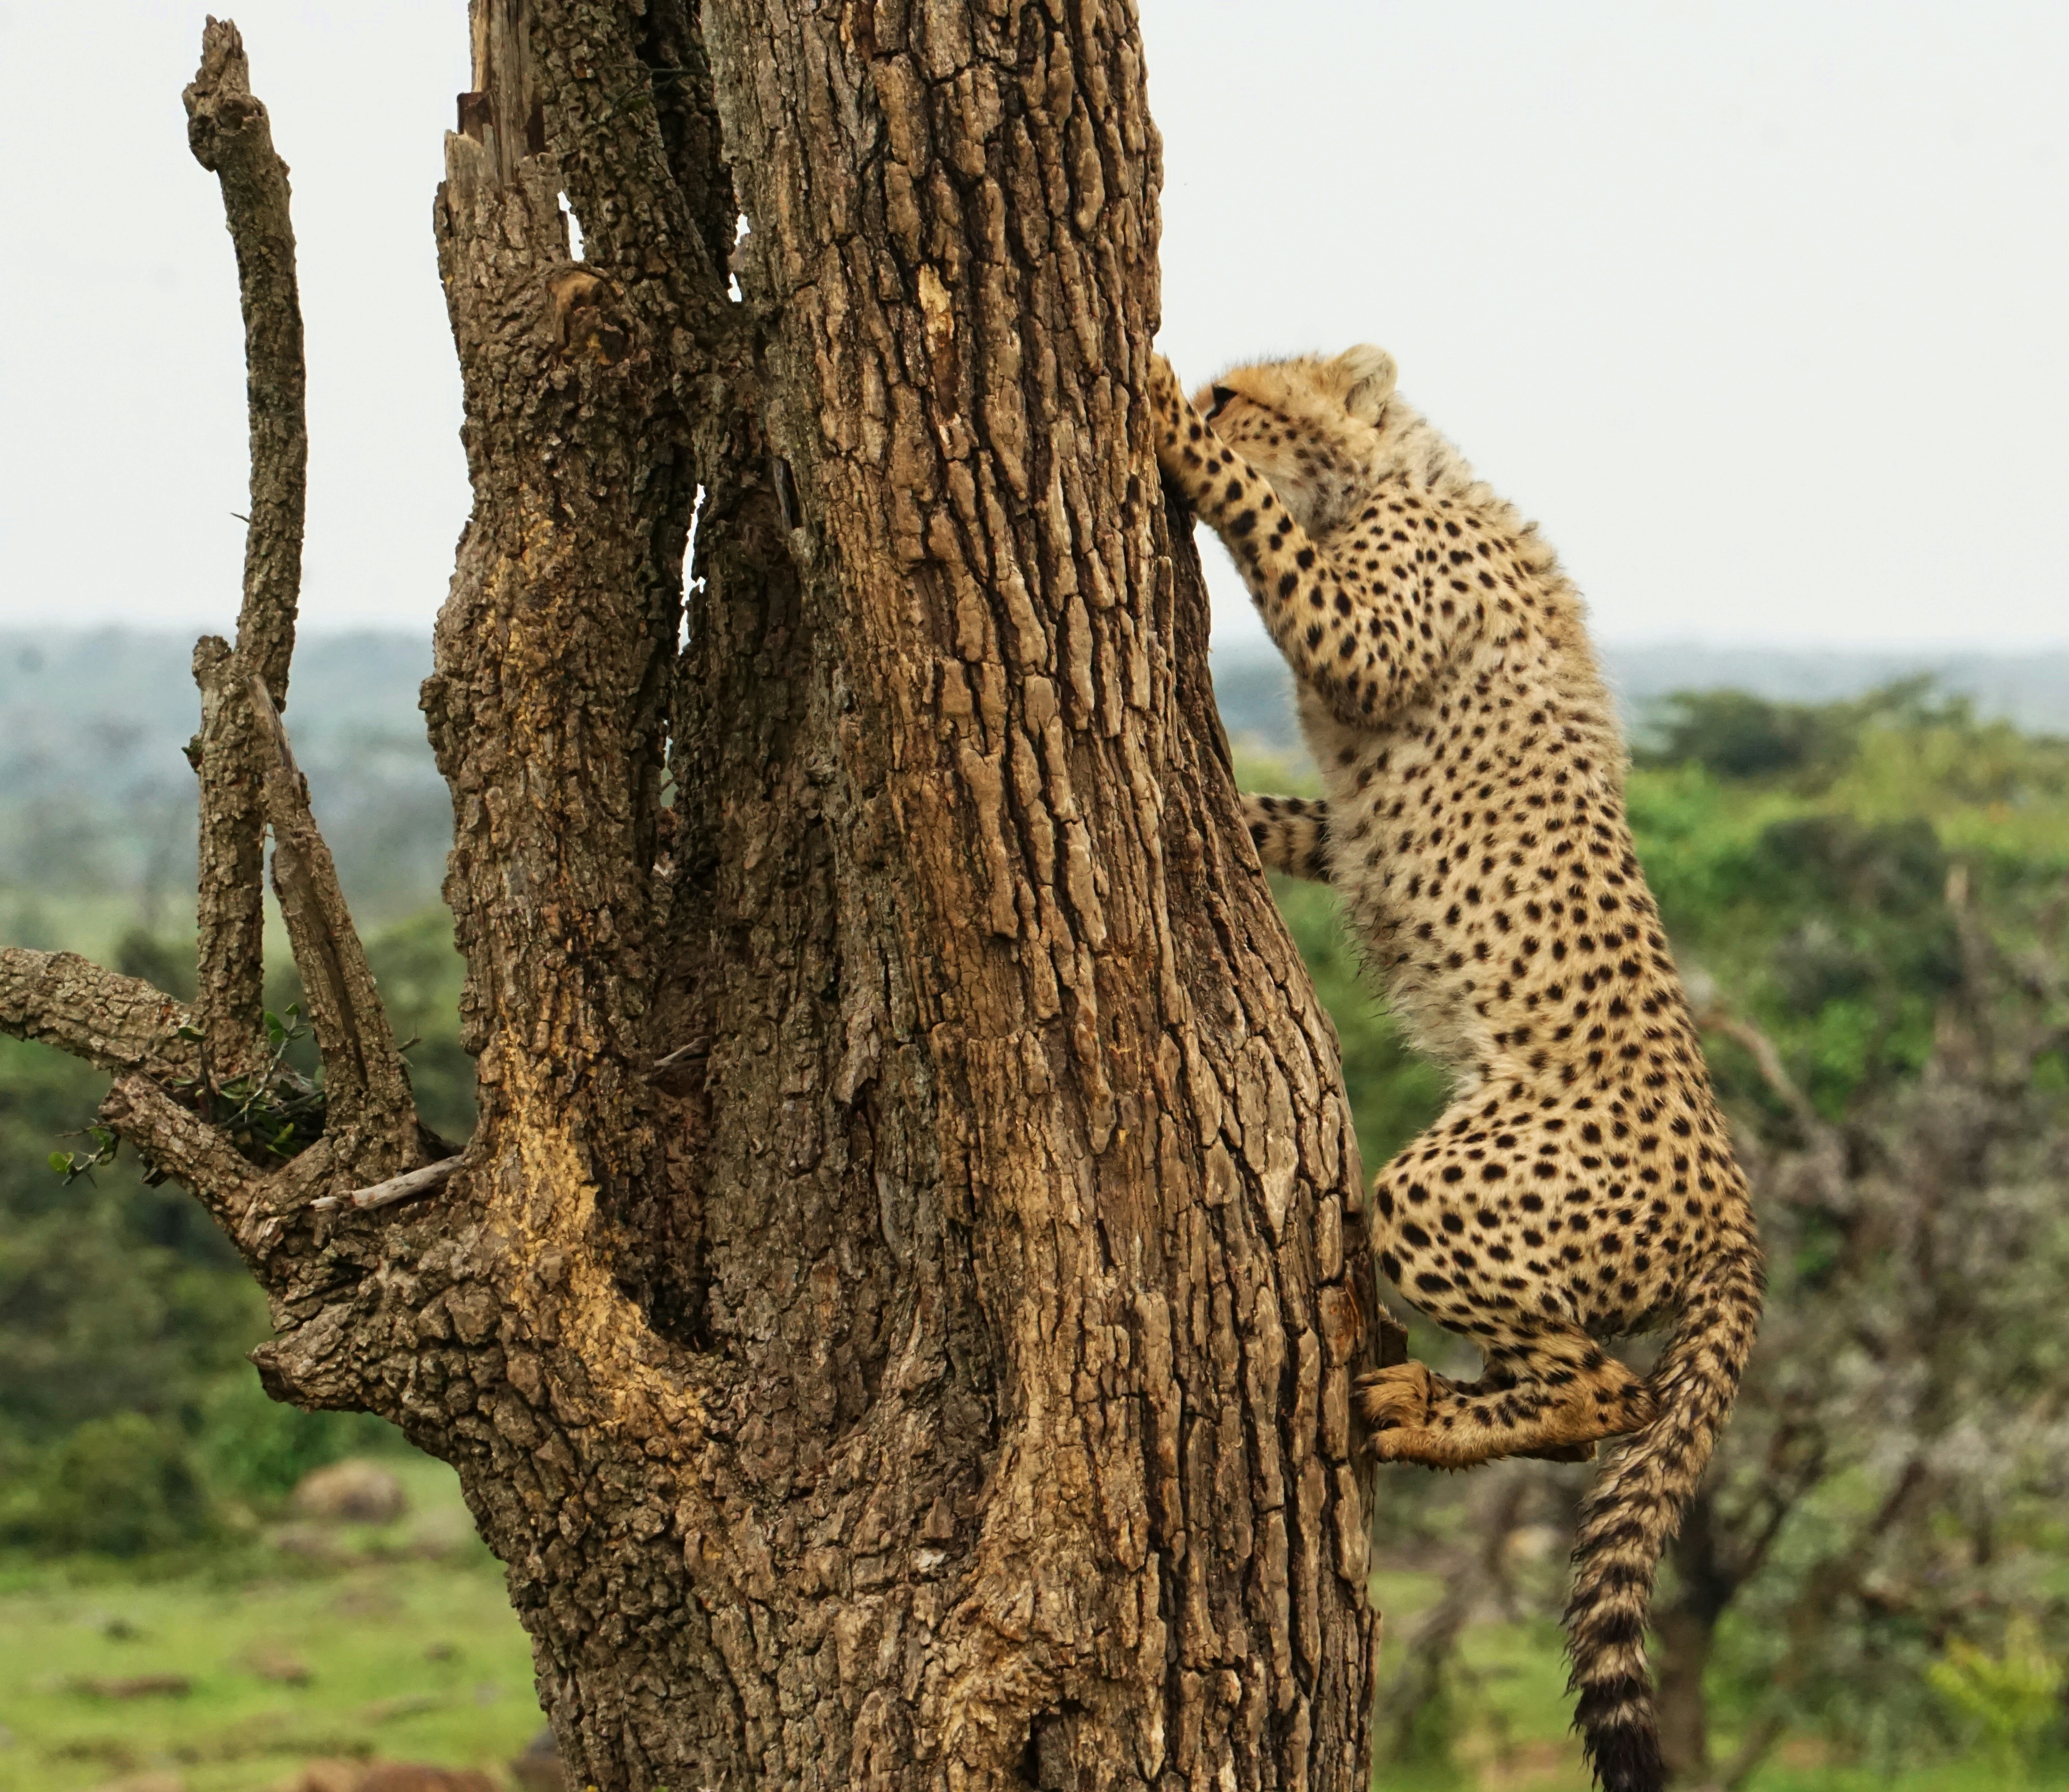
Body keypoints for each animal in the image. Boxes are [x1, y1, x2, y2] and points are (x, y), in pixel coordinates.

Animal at [1149, 345, 1763, 1792]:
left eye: (1236, 393)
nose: (1200, 401)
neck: (1395, 471)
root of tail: (1734, 1204)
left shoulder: (1367, 633)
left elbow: (1275, 545)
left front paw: (1176, 438)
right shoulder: (1345, 811)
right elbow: (1290, 819)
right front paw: (1224, 811)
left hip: (1446, 1187)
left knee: (1604, 1389)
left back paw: (1425, 1413)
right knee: (1575, 1389)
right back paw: (1422, 1394)